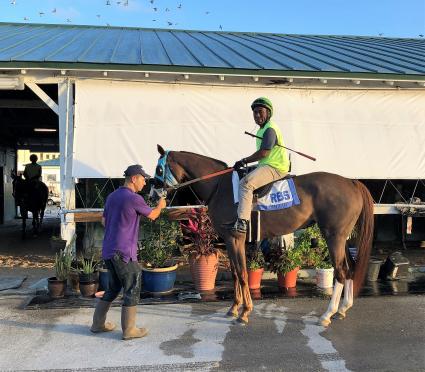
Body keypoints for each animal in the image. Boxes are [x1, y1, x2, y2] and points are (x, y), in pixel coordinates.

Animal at [154, 145, 372, 326]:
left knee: (341, 272)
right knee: (349, 268)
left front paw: (245, 312)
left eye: (159, 169)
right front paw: (234, 308)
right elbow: (235, 273)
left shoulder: (235, 238)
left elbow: (242, 273)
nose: (152, 194)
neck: (219, 185)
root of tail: (351, 182)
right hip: (341, 238)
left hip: (333, 237)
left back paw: (327, 314)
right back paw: (342, 309)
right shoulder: (230, 240)